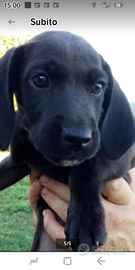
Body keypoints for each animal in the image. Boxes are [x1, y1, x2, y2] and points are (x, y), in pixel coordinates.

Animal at [0, 31, 135, 251]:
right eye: (40, 79)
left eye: (98, 86)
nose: (78, 138)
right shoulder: (17, 162)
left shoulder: (118, 152)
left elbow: (89, 169)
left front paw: (86, 220)